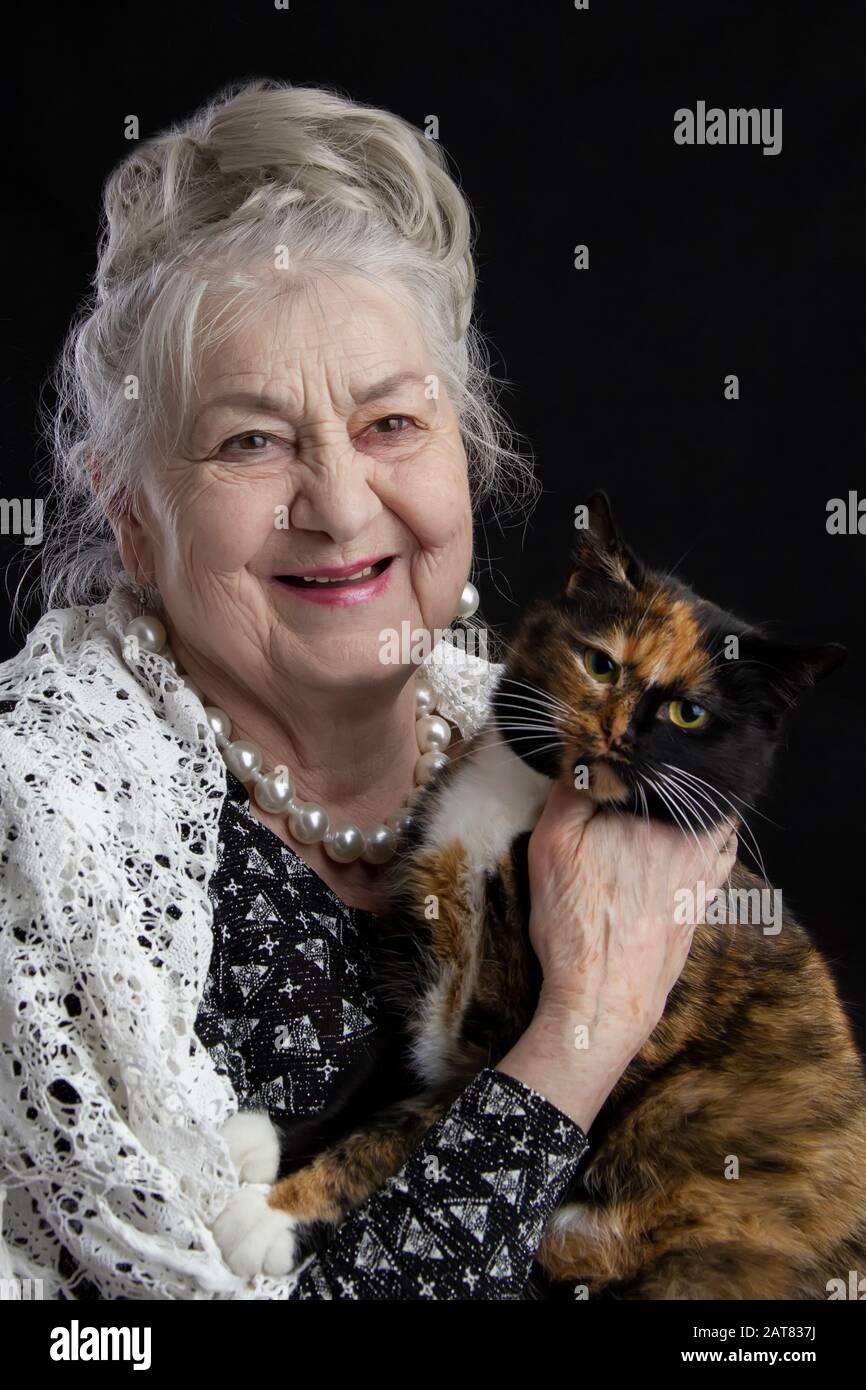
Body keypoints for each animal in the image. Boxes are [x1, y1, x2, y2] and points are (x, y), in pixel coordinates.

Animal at [240, 494, 866, 1295]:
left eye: (688, 714)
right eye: (600, 663)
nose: (616, 731)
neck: (522, 807)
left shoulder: (507, 1044)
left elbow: (394, 1138)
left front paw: (274, 1216)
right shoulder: (419, 960)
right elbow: (375, 1076)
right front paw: (268, 1141)